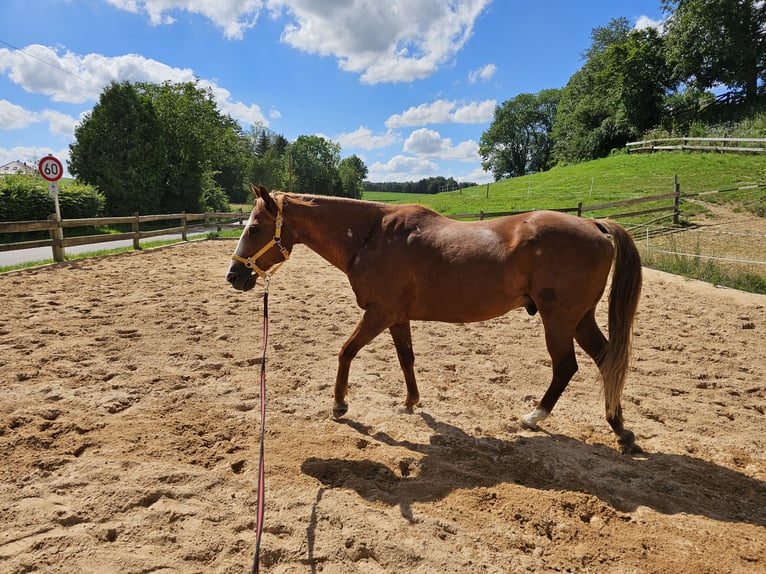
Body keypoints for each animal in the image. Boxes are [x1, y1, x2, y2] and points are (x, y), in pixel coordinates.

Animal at [226, 187, 640, 452]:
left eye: (255, 228)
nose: (234, 276)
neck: (372, 235)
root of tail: (596, 225)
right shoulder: (396, 317)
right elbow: (406, 359)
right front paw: (410, 402)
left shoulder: (378, 313)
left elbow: (346, 352)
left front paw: (339, 405)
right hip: (580, 318)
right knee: (606, 360)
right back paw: (619, 428)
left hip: (559, 320)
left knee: (566, 366)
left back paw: (534, 417)